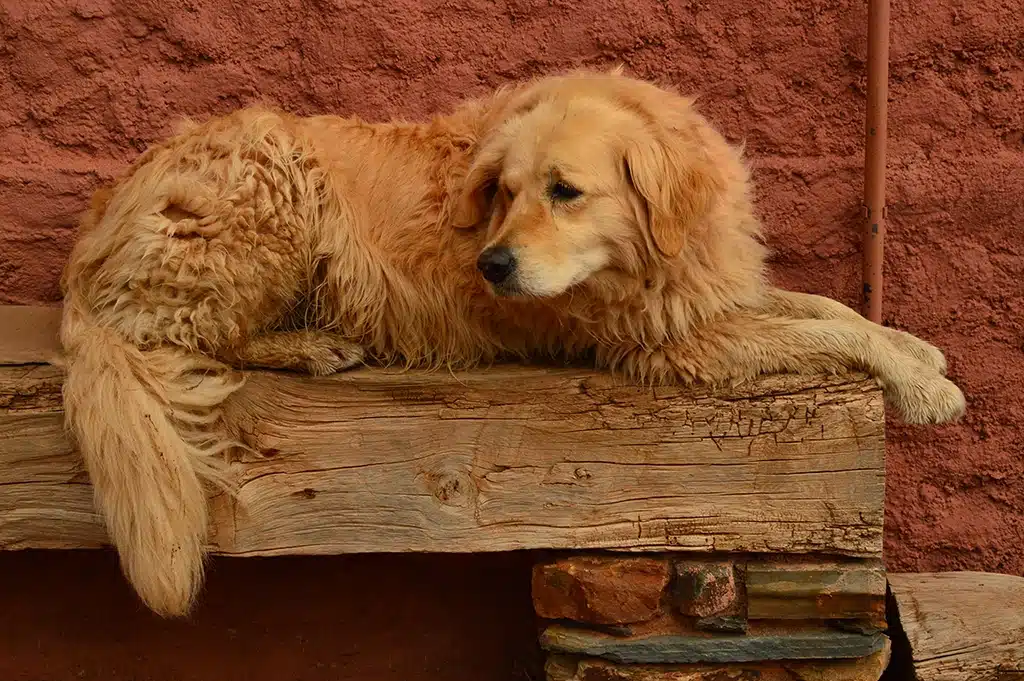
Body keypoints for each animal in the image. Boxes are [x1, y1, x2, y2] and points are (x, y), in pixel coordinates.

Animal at [59, 69, 962, 614]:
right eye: (504, 190)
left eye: (565, 191)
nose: (491, 263)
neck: (654, 250)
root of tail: (98, 225)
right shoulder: (670, 344)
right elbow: (822, 329)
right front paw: (924, 387)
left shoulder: (705, 297)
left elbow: (830, 308)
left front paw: (917, 349)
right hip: (268, 187)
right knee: (186, 336)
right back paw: (311, 346)